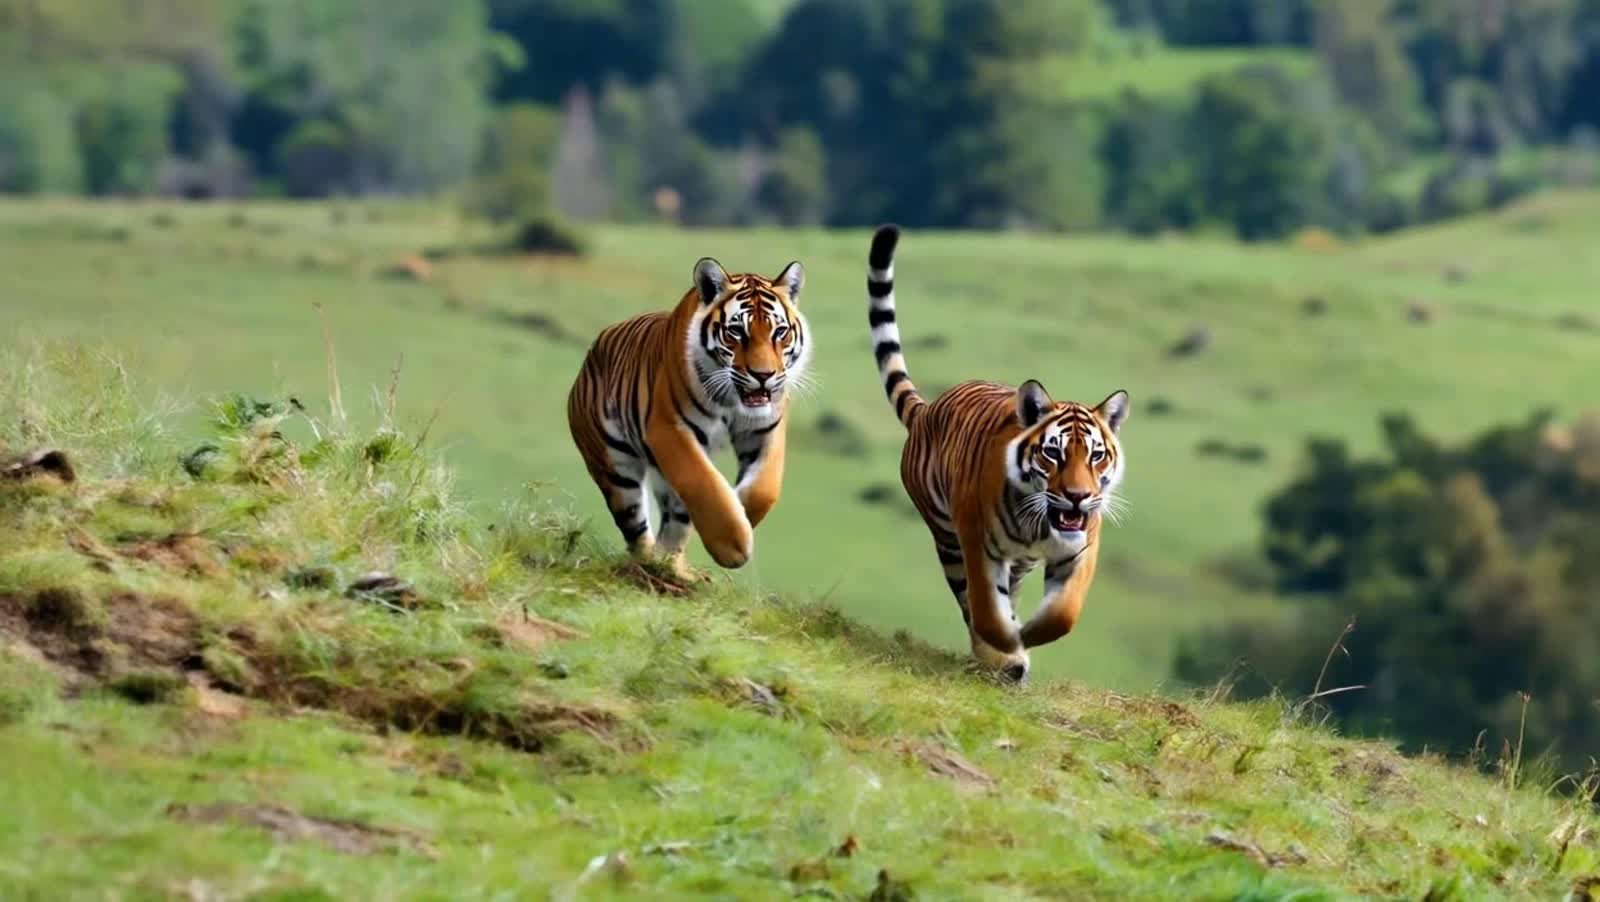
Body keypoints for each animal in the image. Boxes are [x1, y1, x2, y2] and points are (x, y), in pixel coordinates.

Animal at [567, 257, 809, 578]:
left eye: (779, 332)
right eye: (736, 332)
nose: (763, 375)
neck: (732, 403)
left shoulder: (767, 430)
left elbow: (764, 488)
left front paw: (741, 510)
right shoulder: (668, 428)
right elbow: (702, 481)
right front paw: (732, 545)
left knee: (674, 522)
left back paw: (675, 568)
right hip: (614, 468)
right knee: (635, 528)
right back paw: (649, 564)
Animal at [865, 225, 1129, 682]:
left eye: (1096, 456)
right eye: (1053, 454)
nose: (1078, 496)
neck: (1041, 525)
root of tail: (926, 409)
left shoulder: (1081, 550)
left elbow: (1063, 613)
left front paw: (1030, 635)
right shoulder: (978, 544)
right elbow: (987, 610)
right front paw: (1007, 646)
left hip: (1015, 561)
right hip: (948, 539)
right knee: (970, 602)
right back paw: (1002, 658)